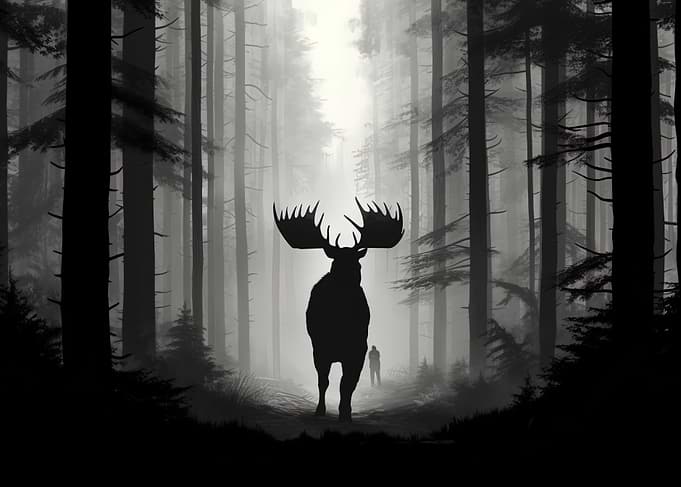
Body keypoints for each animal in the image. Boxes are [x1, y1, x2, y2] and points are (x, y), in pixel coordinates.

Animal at [273, 198, 403, 422]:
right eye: (337, 263)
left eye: (358, 264)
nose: (348, 280)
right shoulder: (320, 347)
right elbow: (323, 381)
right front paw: (320, 410)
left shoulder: (358, 349)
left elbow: (348, 384)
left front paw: (346, 413)